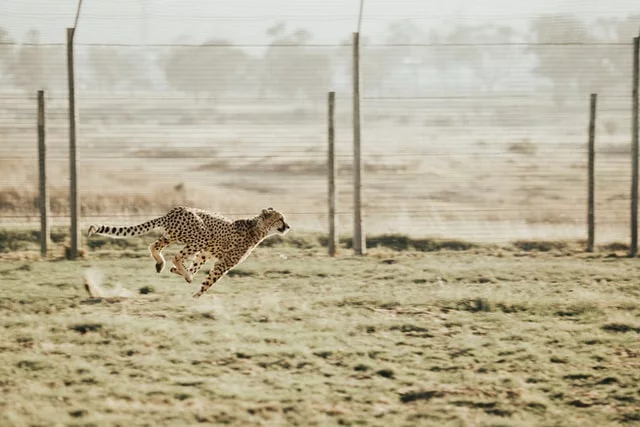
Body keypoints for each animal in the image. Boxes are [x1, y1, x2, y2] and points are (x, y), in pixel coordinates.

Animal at [87, 206, 290, 298]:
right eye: (280, 219)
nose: (287, 226)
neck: (257, 228)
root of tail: (174, 210)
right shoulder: (223, 263)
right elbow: (209, 281)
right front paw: (196, 296)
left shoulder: (205, 253)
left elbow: (196, 266)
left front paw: (181, 273)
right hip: (199, 236)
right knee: (176, 256)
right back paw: (180, 271)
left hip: (173, 235)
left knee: (154, 246)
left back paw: (162, 264)